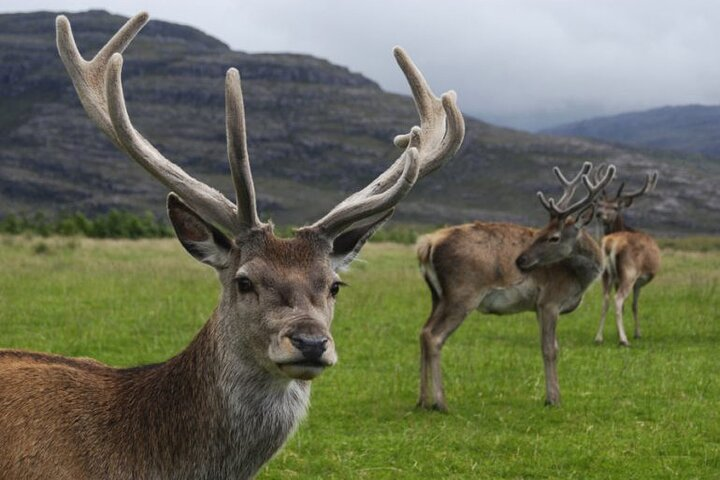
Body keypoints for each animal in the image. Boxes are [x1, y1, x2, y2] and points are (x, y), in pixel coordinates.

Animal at [415, 162, 615, 411]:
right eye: (541, 232)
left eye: (553, 236)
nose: (520, 260)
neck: (578, 278)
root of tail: (427, 244)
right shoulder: (550, 300)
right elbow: (550, 349)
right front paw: (553, 399)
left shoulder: (539, 307)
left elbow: (551, 346)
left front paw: (552, 396)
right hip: (462, 294)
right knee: (434, 336)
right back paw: (440, 403)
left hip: (437, 295)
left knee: (423, 331)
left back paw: (422, 400)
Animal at [593, 169, 660, 346]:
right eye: (600, 205)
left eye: (615, 207)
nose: (599, 214)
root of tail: (610, 243)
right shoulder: (639, 281)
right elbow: (634, 305)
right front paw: (637, 333)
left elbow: (627, 307)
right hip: (629, 272)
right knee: (617, 300)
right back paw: (624, 340)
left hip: (606, 274)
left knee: (605, 300)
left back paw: (598, 337)